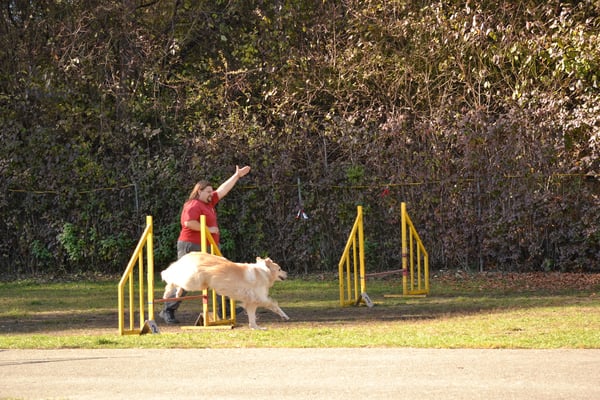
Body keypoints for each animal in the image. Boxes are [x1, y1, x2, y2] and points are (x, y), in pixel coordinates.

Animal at [160, 252, 290, 330]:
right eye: (279, 269)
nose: (287, 273)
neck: (263, 272)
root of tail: (190, 255)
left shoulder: (251, 302)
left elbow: (252, 317)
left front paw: (256, 327)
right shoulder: (260, 298)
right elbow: (274, 305)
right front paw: (285, 316)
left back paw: (177, 293)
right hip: (193, 280)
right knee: (172, 277)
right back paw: (168, 292)